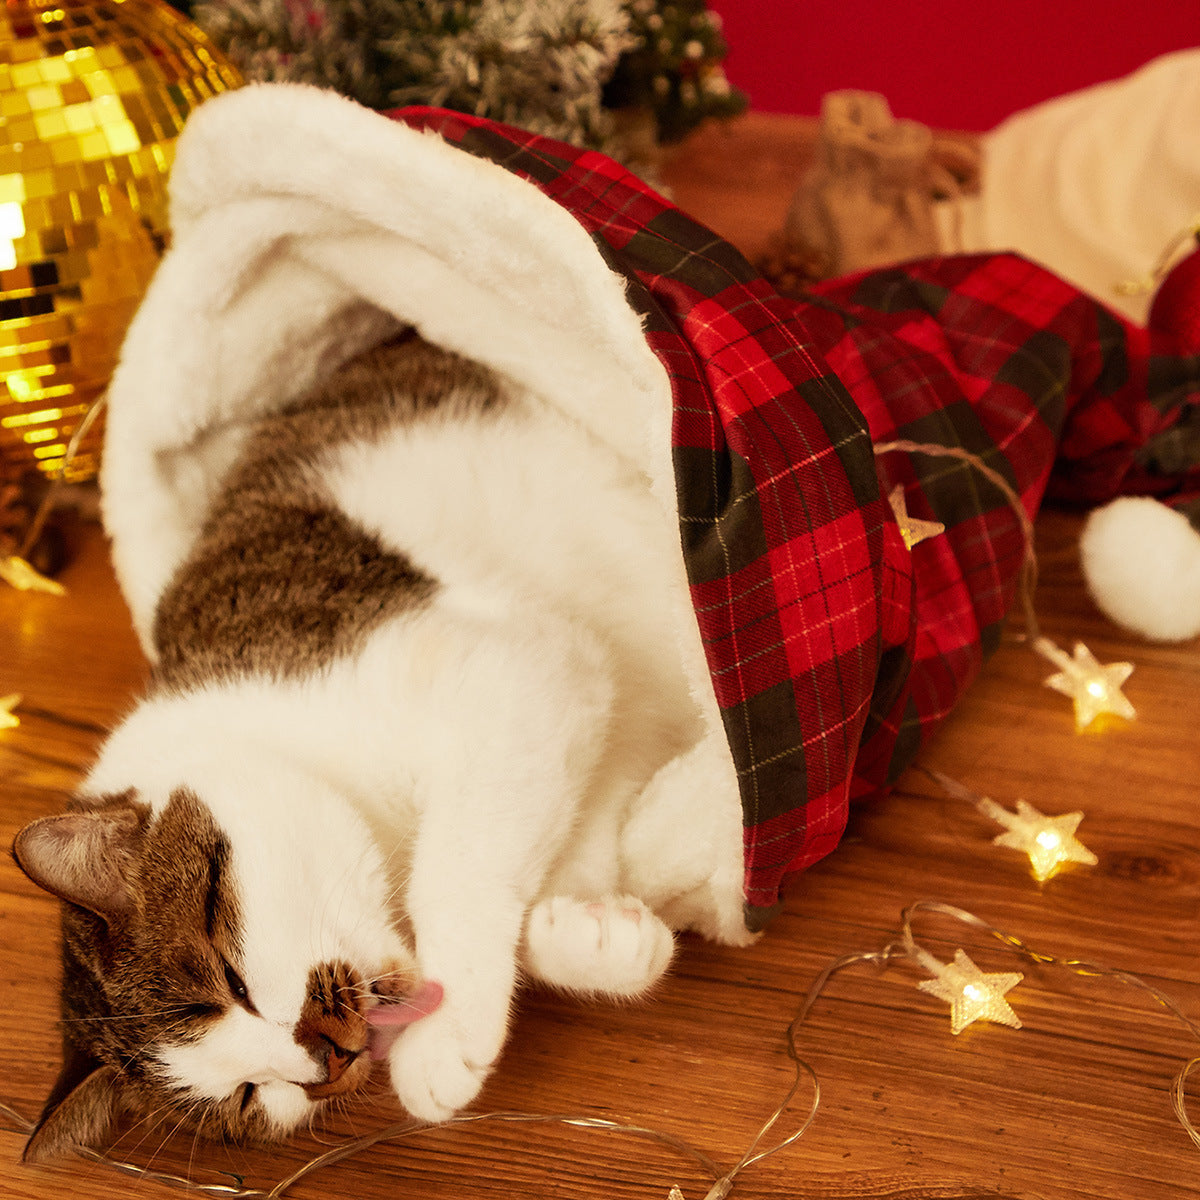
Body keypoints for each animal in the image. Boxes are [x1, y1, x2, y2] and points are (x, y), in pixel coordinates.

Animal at [9, 333, 705, 1156]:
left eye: (230, 980)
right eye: (249, 1096)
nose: (325, 1059)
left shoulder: (512, 669)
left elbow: (460, 864)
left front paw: (441, 1039)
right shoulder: (591, 722)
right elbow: (568, 846)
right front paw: (598, 934)